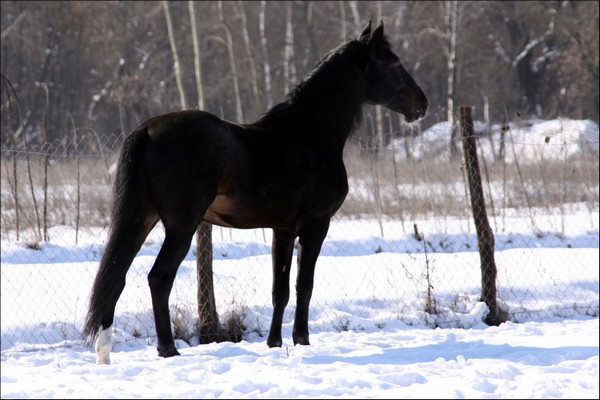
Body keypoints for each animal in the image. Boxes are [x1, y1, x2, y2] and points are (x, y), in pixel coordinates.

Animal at [84, 20, 426, 364]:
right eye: (393, 63)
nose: (421, 104)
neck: (311, 135)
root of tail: (146, 130)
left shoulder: (283, 230)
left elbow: (281, 289)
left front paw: (274, 343)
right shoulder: (316, 225)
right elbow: (304, 285)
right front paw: (302, 340)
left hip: (142, 219)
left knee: (115, 276)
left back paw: (105, 353)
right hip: (180, 227)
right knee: (158, 278)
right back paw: (168, 350)